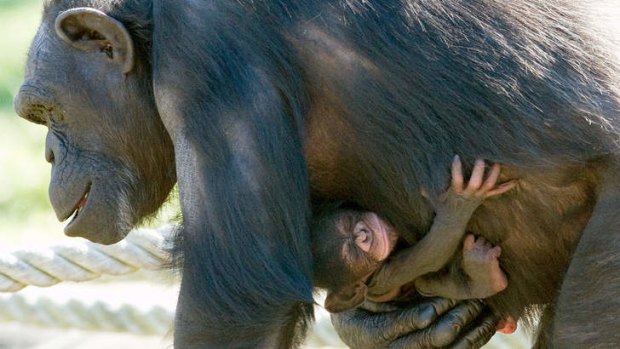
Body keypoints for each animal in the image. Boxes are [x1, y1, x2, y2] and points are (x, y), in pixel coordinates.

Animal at [312, 156, 516, 312]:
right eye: (353, 254)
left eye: (349, 222)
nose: (363, 235)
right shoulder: (381, 277)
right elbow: (428, 257)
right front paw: (459, 203)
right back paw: (483, 278)